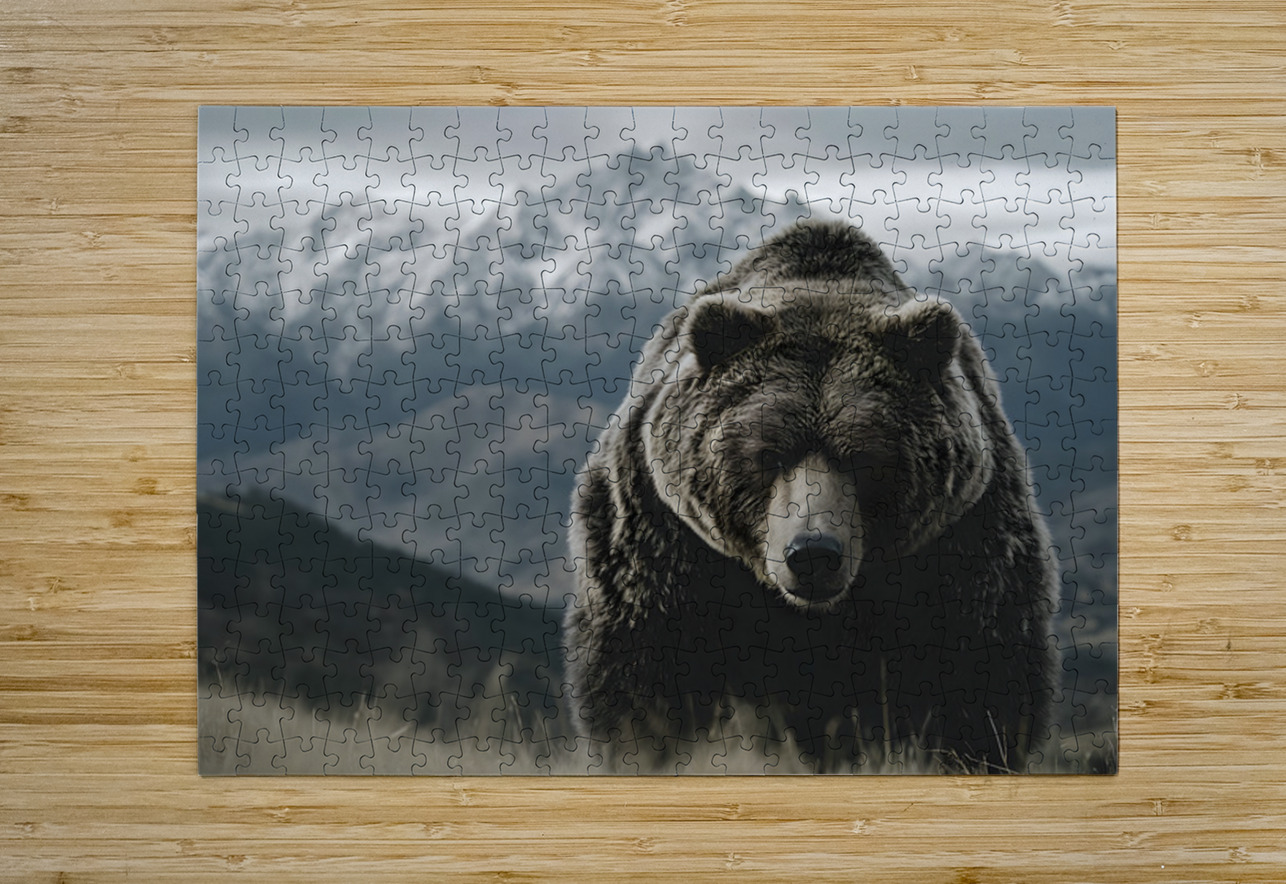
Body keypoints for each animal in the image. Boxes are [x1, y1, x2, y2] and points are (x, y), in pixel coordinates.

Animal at [563, 219, 1059, 773]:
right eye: (767, 454)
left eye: (866, 458)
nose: (813, 553)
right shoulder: (664, 543)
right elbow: (649, 677)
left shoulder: (963, 543)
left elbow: (975, 679)